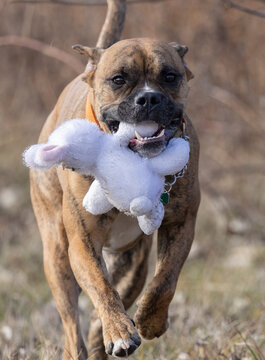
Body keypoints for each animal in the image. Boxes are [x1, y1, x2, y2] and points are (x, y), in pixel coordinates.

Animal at [28, 23, 199, 360]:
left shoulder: (181, 224)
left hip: (130, 263)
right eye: (119, 79)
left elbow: (165, 279)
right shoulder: (83, 243)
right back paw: (84, 345)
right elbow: (101, 287)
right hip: (57, 255)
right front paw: (120, 331)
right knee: (71, 321)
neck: (135, 160)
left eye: (169, 76)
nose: (148, 98)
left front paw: (150, 320)